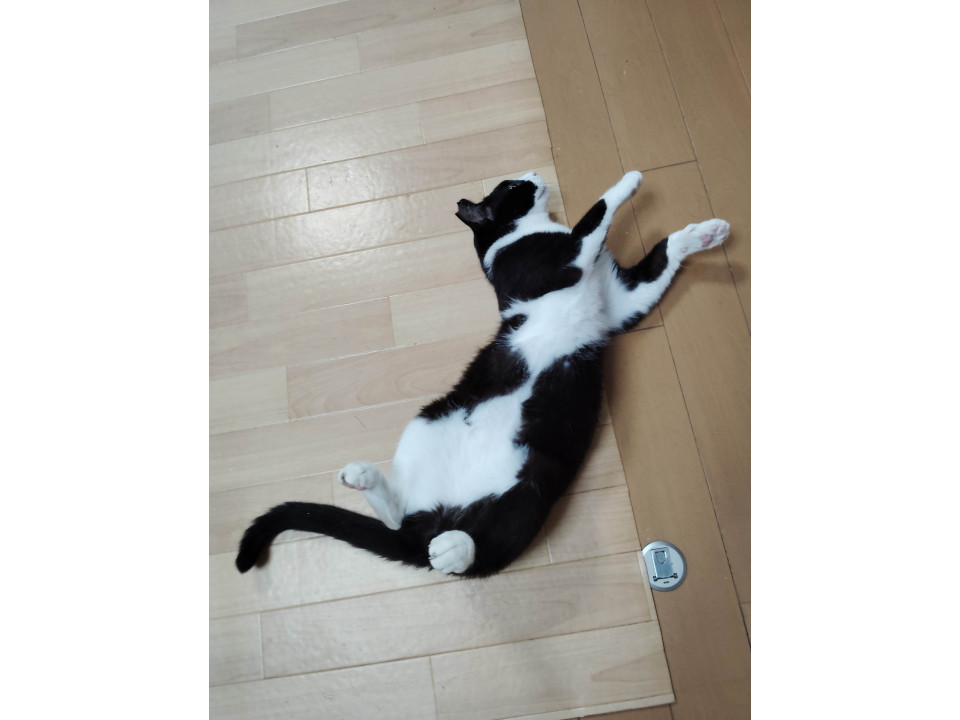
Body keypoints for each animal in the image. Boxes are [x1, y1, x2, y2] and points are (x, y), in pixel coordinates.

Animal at [235, 170, 728, 578]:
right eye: (512, 187)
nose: (534, 173)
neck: (528, 231)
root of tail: (444, 516)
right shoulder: (563, 261)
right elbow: (595, 215)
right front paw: (630, 180)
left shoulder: (620, 302)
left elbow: (659, 260)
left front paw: (705, 233)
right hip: (467, 446)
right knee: (462, 549)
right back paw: (445, 543)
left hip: (523, 473)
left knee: (411, 524)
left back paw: (394, 502)